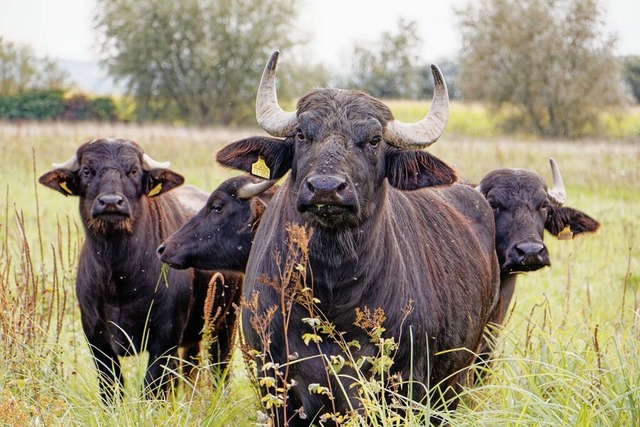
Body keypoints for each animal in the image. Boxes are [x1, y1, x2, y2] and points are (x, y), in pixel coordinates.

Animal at [38, 139, 242, 402]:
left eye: (134, 170)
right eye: (86, 171)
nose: (111, 202)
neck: (120, 276)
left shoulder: (164, 338)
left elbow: (152, 389)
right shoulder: (96, 338)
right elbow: (111, 388)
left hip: (226, 323)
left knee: (219, 369)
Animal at [215, 51, 500, 426]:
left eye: (374, 140)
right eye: (302, 134)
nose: (326, 188)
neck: (333, 293)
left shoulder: (406, 386)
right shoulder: (275, 385)